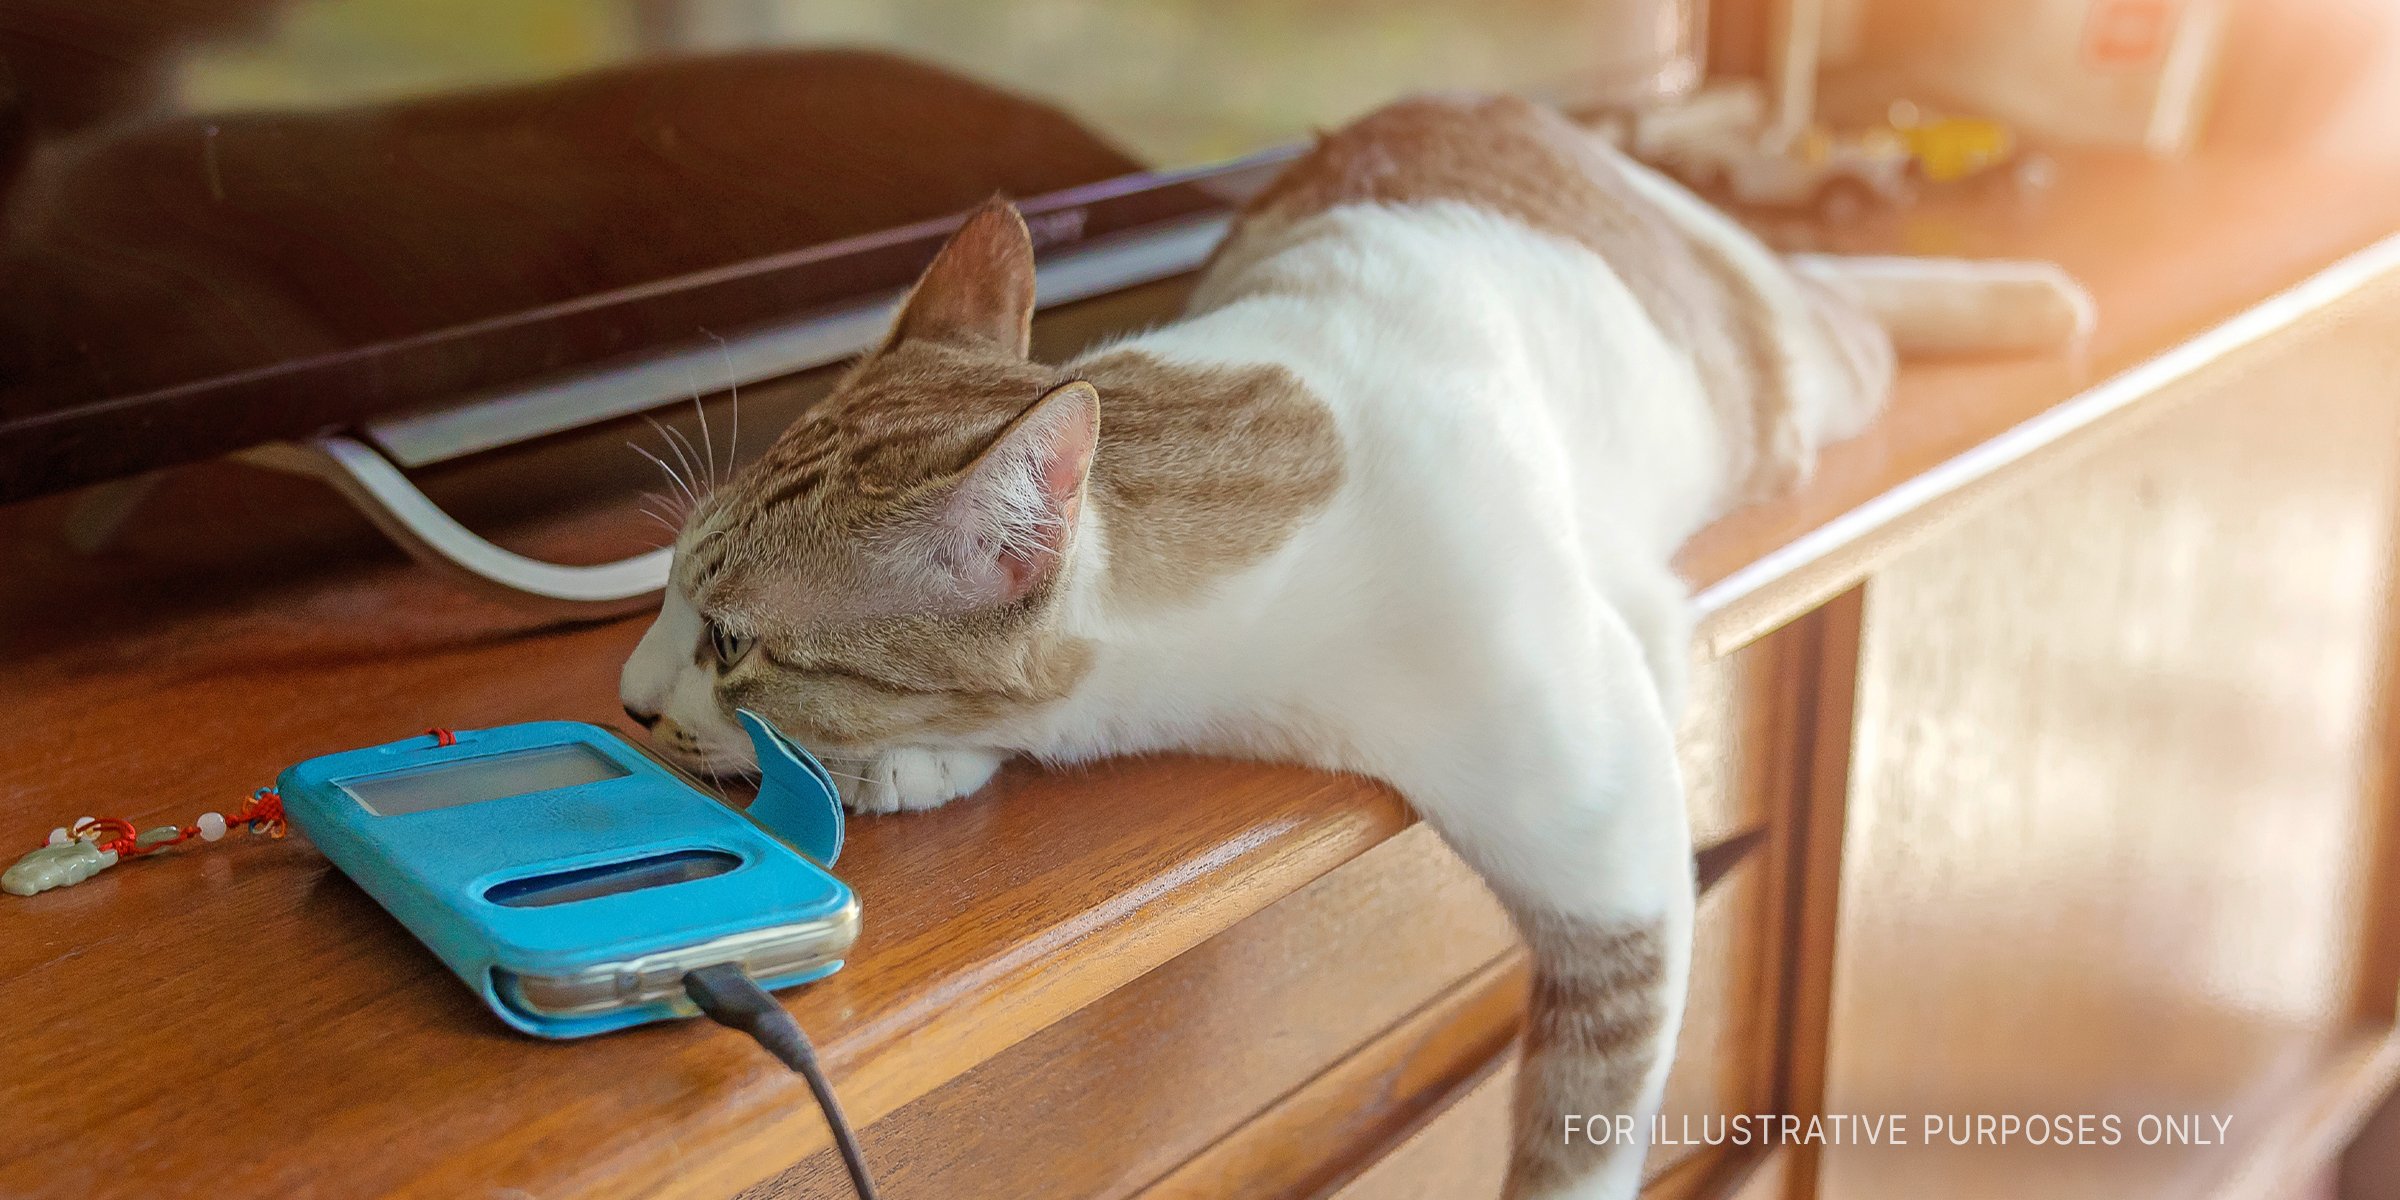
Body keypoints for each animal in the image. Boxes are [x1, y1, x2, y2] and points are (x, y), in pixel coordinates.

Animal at [624, 93, 2102, 1200]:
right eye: (669, 594)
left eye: (734, 642)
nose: (631, 700)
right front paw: (908, 767)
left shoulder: (1616, 852)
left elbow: (1581, 1127)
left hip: (1785, 389)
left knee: (1833, 300)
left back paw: (2032, 298)